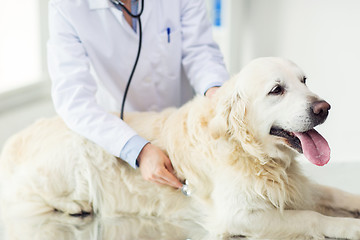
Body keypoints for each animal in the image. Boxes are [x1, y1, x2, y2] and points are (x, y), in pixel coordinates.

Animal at [0, 57, 360, 239]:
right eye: (276, 90)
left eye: (304, 80)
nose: (325, 108)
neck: (251, 152)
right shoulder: (238, 215)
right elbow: (312, 218)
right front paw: (349, 227)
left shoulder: (297, 187)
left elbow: (336, 194)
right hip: (73, 153)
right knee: (25, 198)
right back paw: (74, 205)